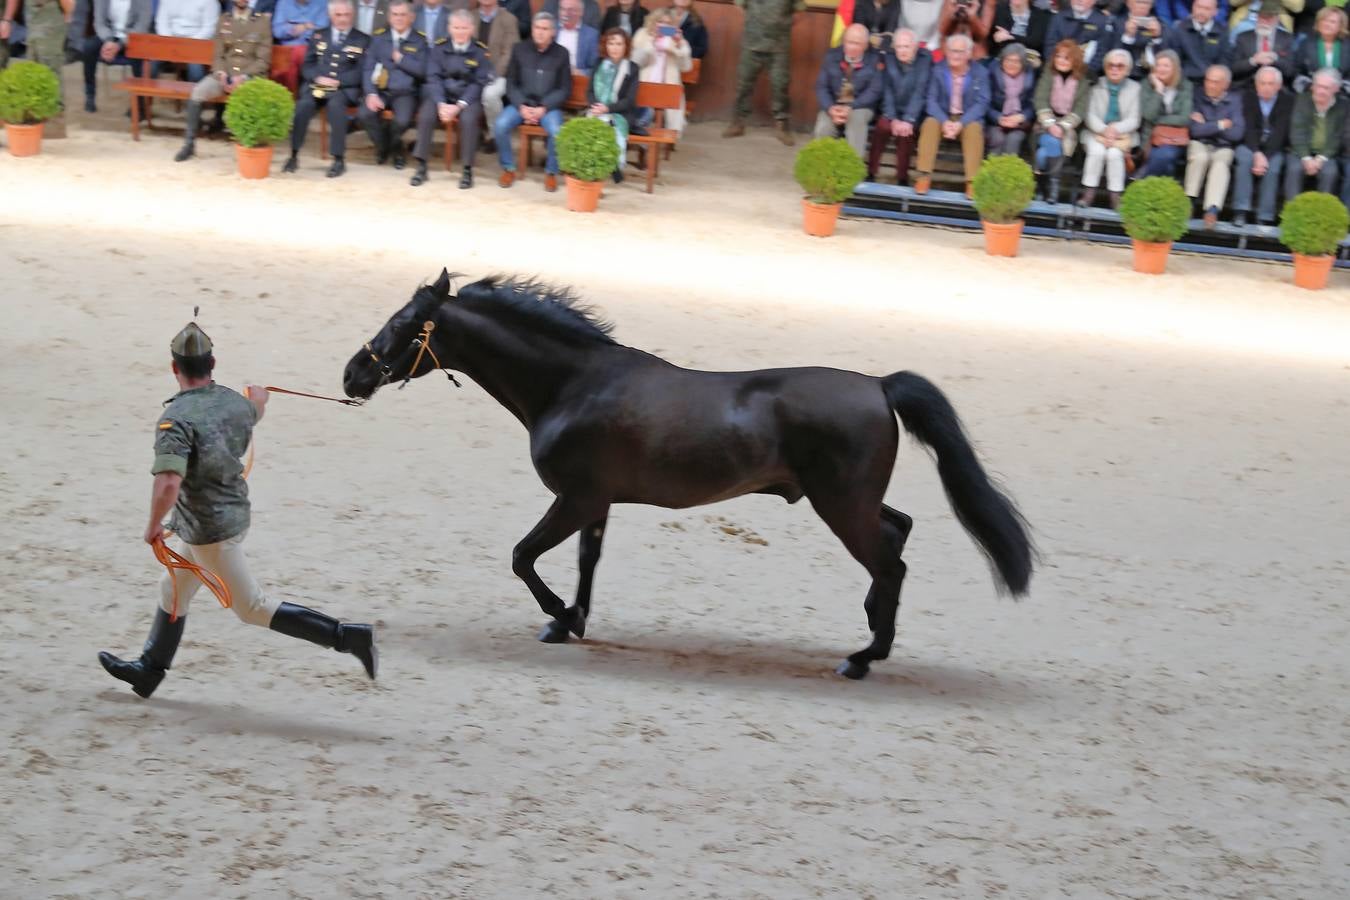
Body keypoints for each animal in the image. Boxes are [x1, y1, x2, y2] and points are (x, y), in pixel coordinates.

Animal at [342, 271, 1026, 680]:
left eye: (402, 325)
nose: (352, 374)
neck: (574, 384)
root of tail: (879, 386)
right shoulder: (597, 503)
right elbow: (585, 563)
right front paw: (570, 621)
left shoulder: (575, 499)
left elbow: (522, 557)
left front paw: (559, 617)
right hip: (847, 501)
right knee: (899, 533)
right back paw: (869, 625)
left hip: (841, 506)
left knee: (891, 561)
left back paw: (863, 657)